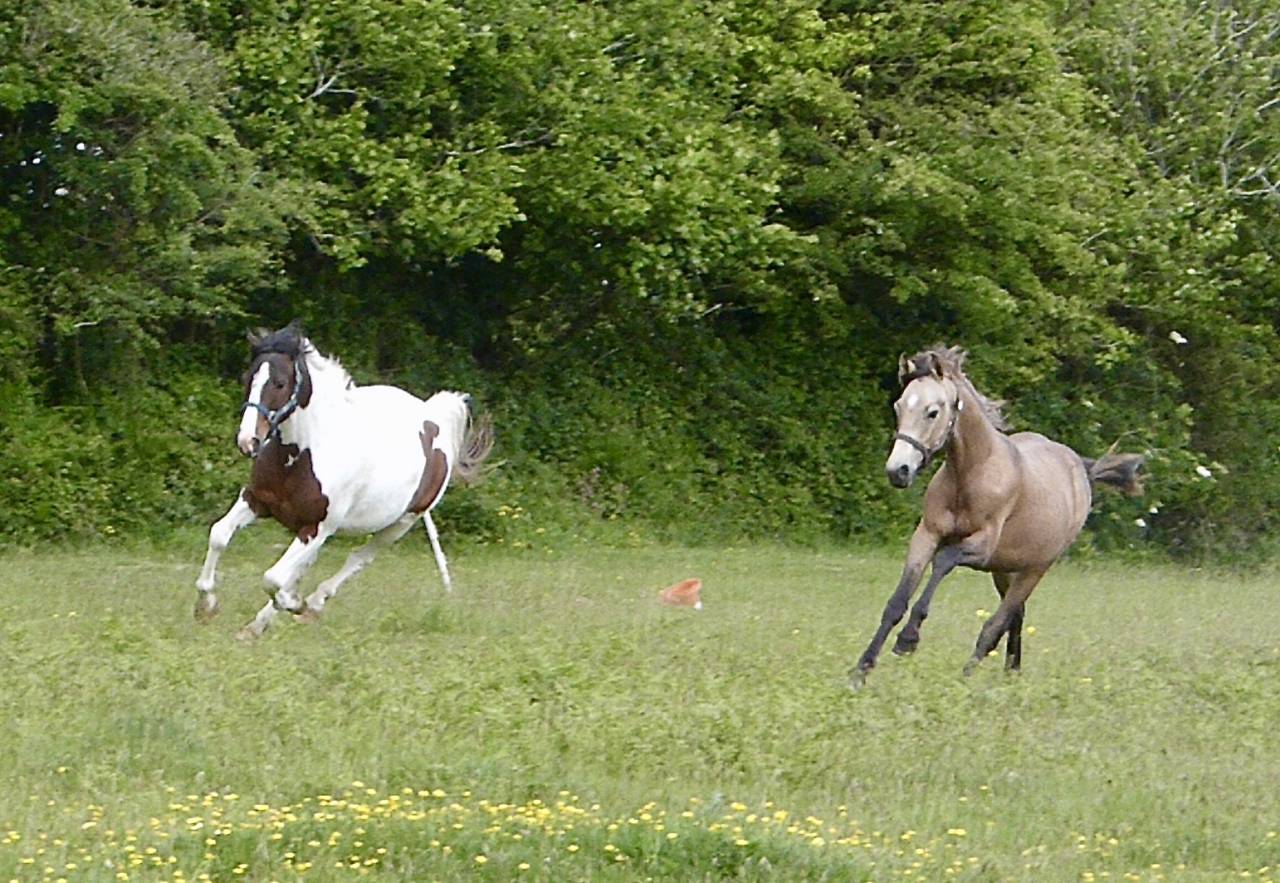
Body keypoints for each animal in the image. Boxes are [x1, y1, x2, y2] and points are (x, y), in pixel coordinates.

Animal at [193, 323, 494, 639]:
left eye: (280, 383)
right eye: (247, 378)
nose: (247, 441)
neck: (301, 453)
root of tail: (431, 417)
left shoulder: (319, 527)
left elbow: (273, 579)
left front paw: (295, 603)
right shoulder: (257, 501)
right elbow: (219, 535)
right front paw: (206, 607)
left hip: (401, 523)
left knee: (358, 559)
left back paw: (311, 605)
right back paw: (258, 625)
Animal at [852, 345, 1143, 685]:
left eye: (932, 411)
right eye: (899, 407)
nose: (898, 471)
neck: (970, 474)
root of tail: (1080, 468)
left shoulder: (981, 546)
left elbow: (943, 562)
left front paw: (908, 639)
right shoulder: (927, 535)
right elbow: (896, 601)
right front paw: (861, 670)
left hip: (1034, 569)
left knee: (996, 623)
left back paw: (967, 677)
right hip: (1005, 569)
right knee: (1015, 616)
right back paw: (1010, 673)